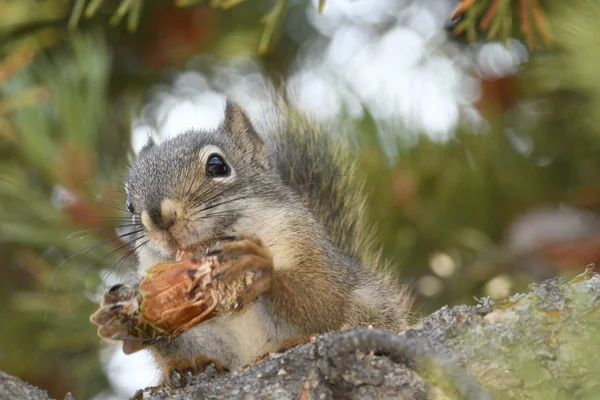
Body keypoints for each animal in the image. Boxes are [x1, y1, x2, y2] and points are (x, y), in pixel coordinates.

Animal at [91, 99, 412, 388]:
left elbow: (325, 303)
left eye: (217, 165)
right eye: (129, 203)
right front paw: (127, 323)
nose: (160, 218)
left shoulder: (317, 258)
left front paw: (258, 268)